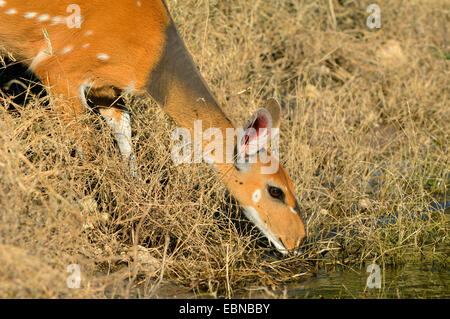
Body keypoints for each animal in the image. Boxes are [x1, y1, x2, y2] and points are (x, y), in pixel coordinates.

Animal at [0, 0, 306, 255]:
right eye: (276, 191)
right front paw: (92, 218)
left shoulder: (107, 90)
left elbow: (125, 139)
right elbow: (84, 149)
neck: (153, 61)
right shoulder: (58, 70)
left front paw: (138, 208)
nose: (297, 240)